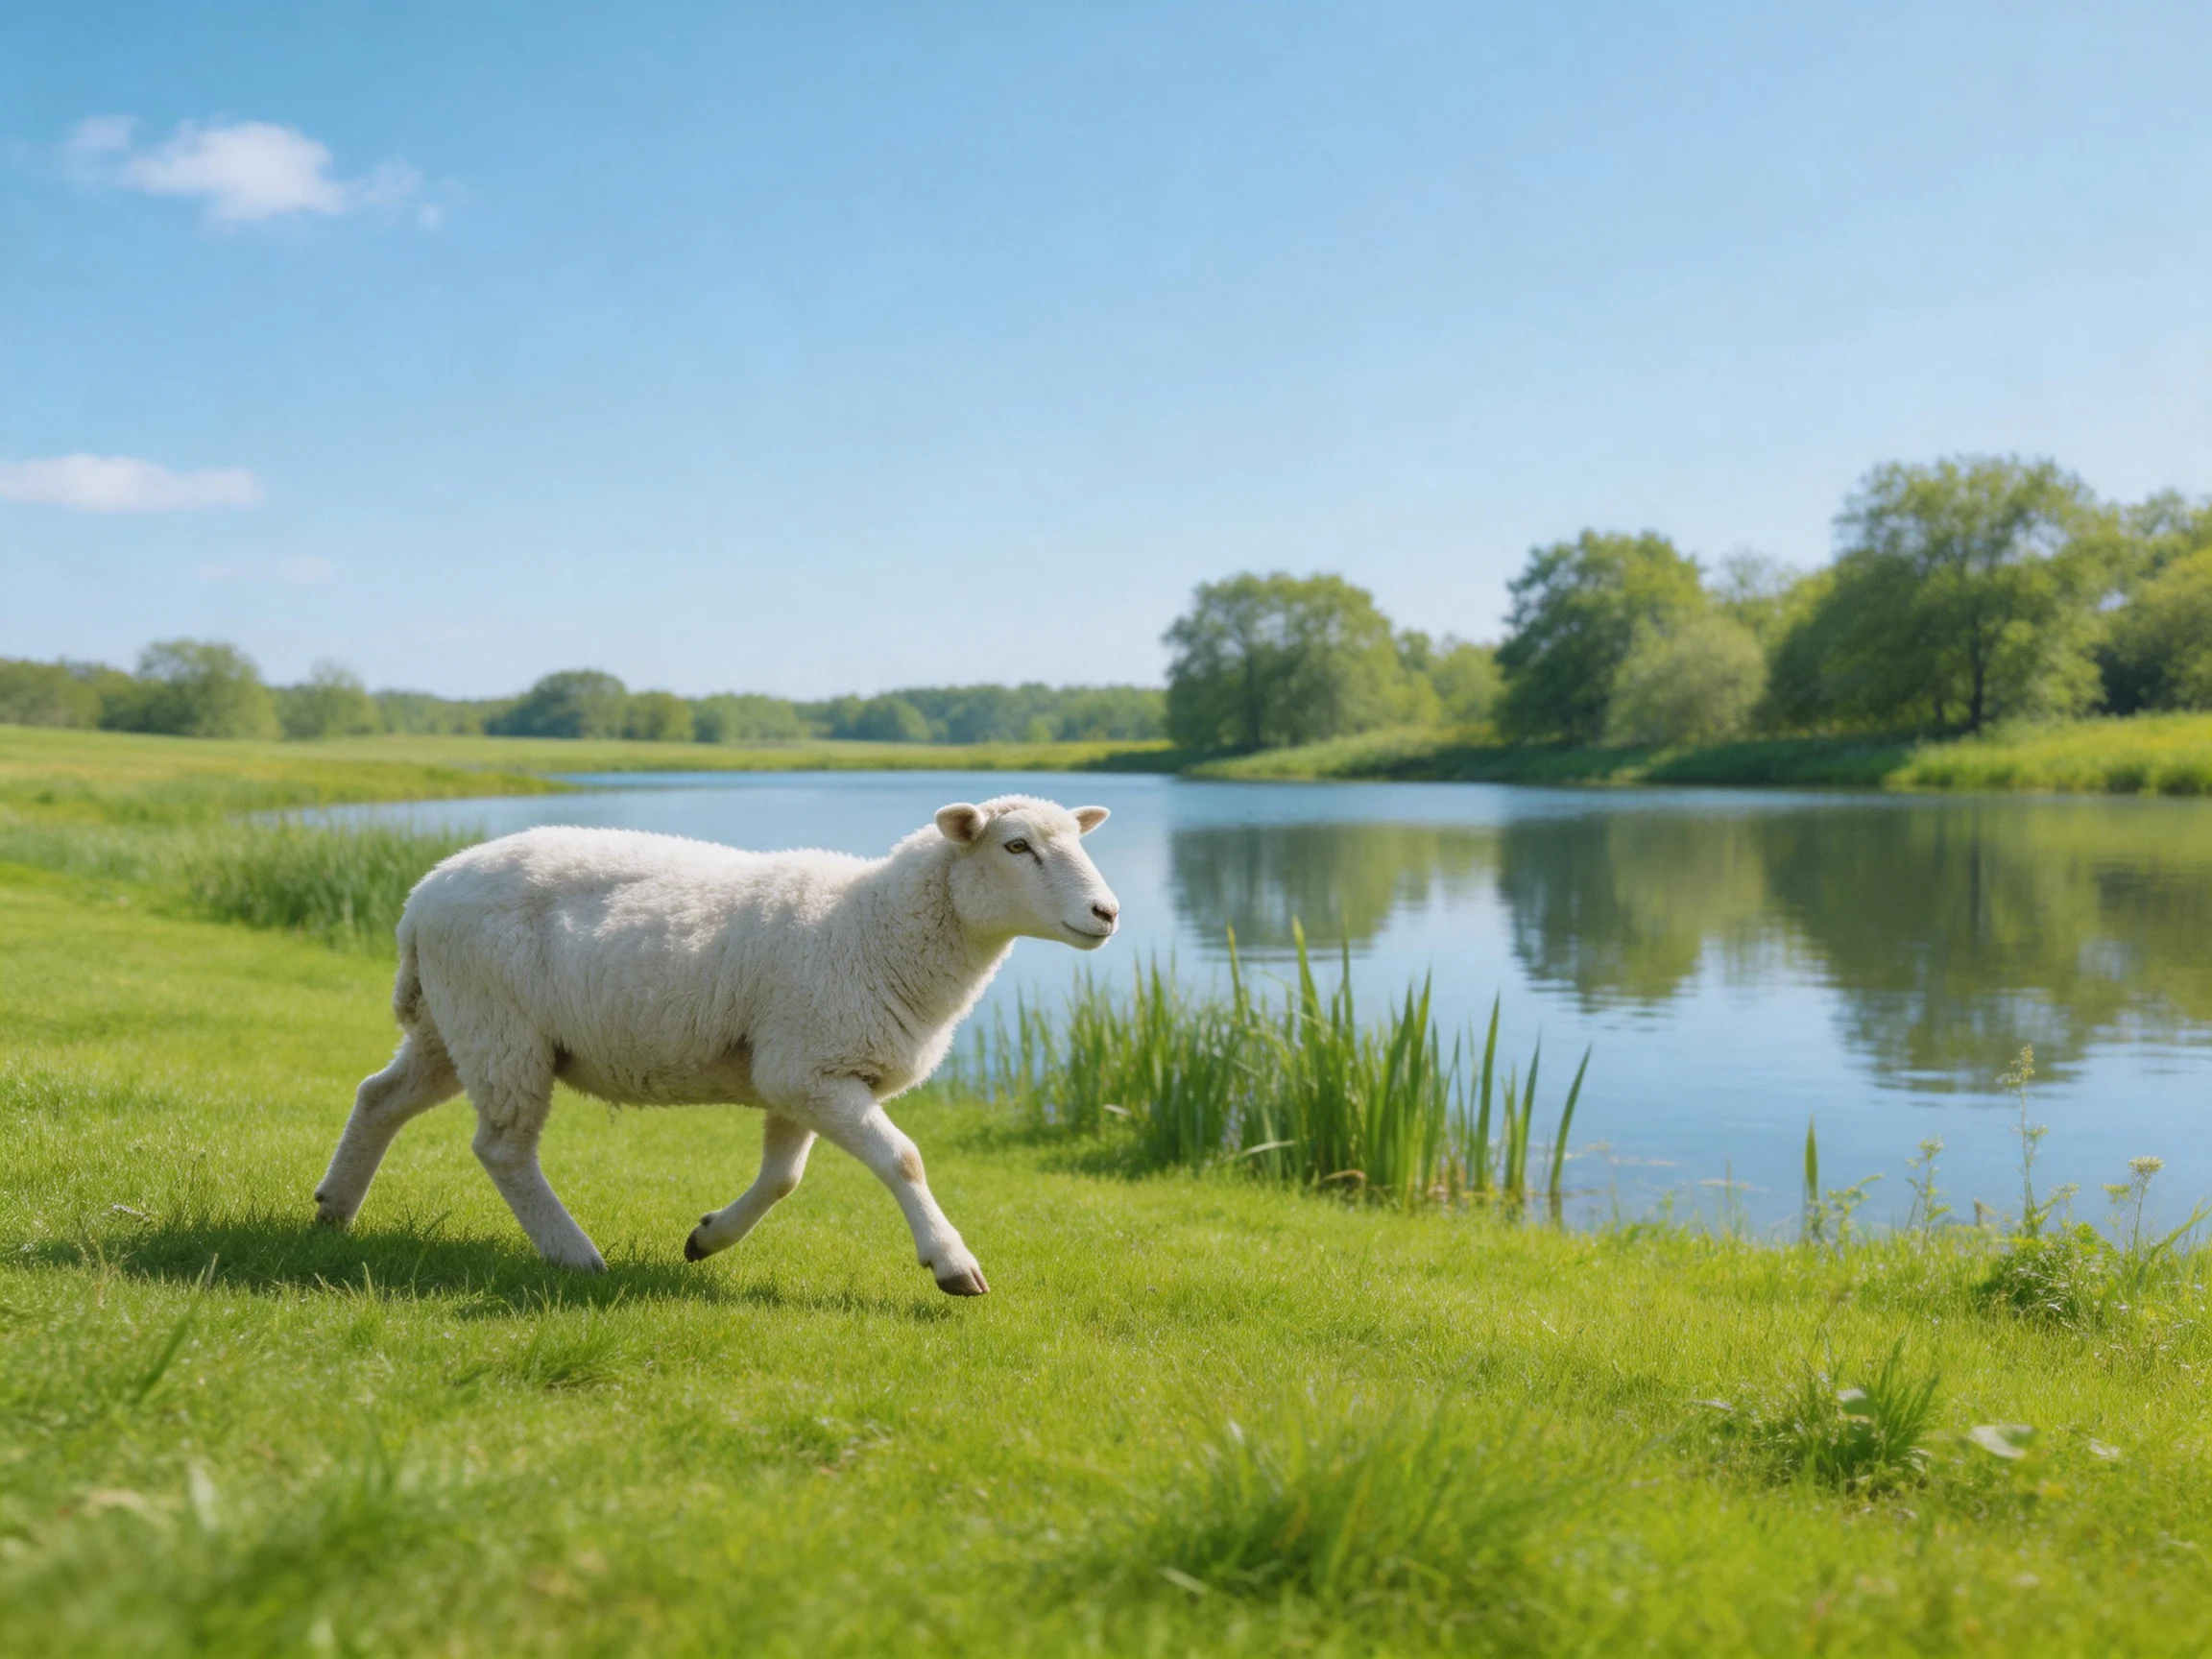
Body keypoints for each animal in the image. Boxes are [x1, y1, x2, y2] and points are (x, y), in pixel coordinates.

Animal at [312, 795, 1118, 1291]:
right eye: (1016, 845)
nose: (1107, 913)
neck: (874, 924)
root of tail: (419, 898)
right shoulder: (809, 1067)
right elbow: (904, 1160)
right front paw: (952, 1263)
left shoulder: (801, 1073)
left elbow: (782, 1179)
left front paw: (707, 1239)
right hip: (500, 1027)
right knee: (503, 1149)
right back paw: (573, 1254)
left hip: (454, 1027)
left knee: (380, 1097)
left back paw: (334, 1210)